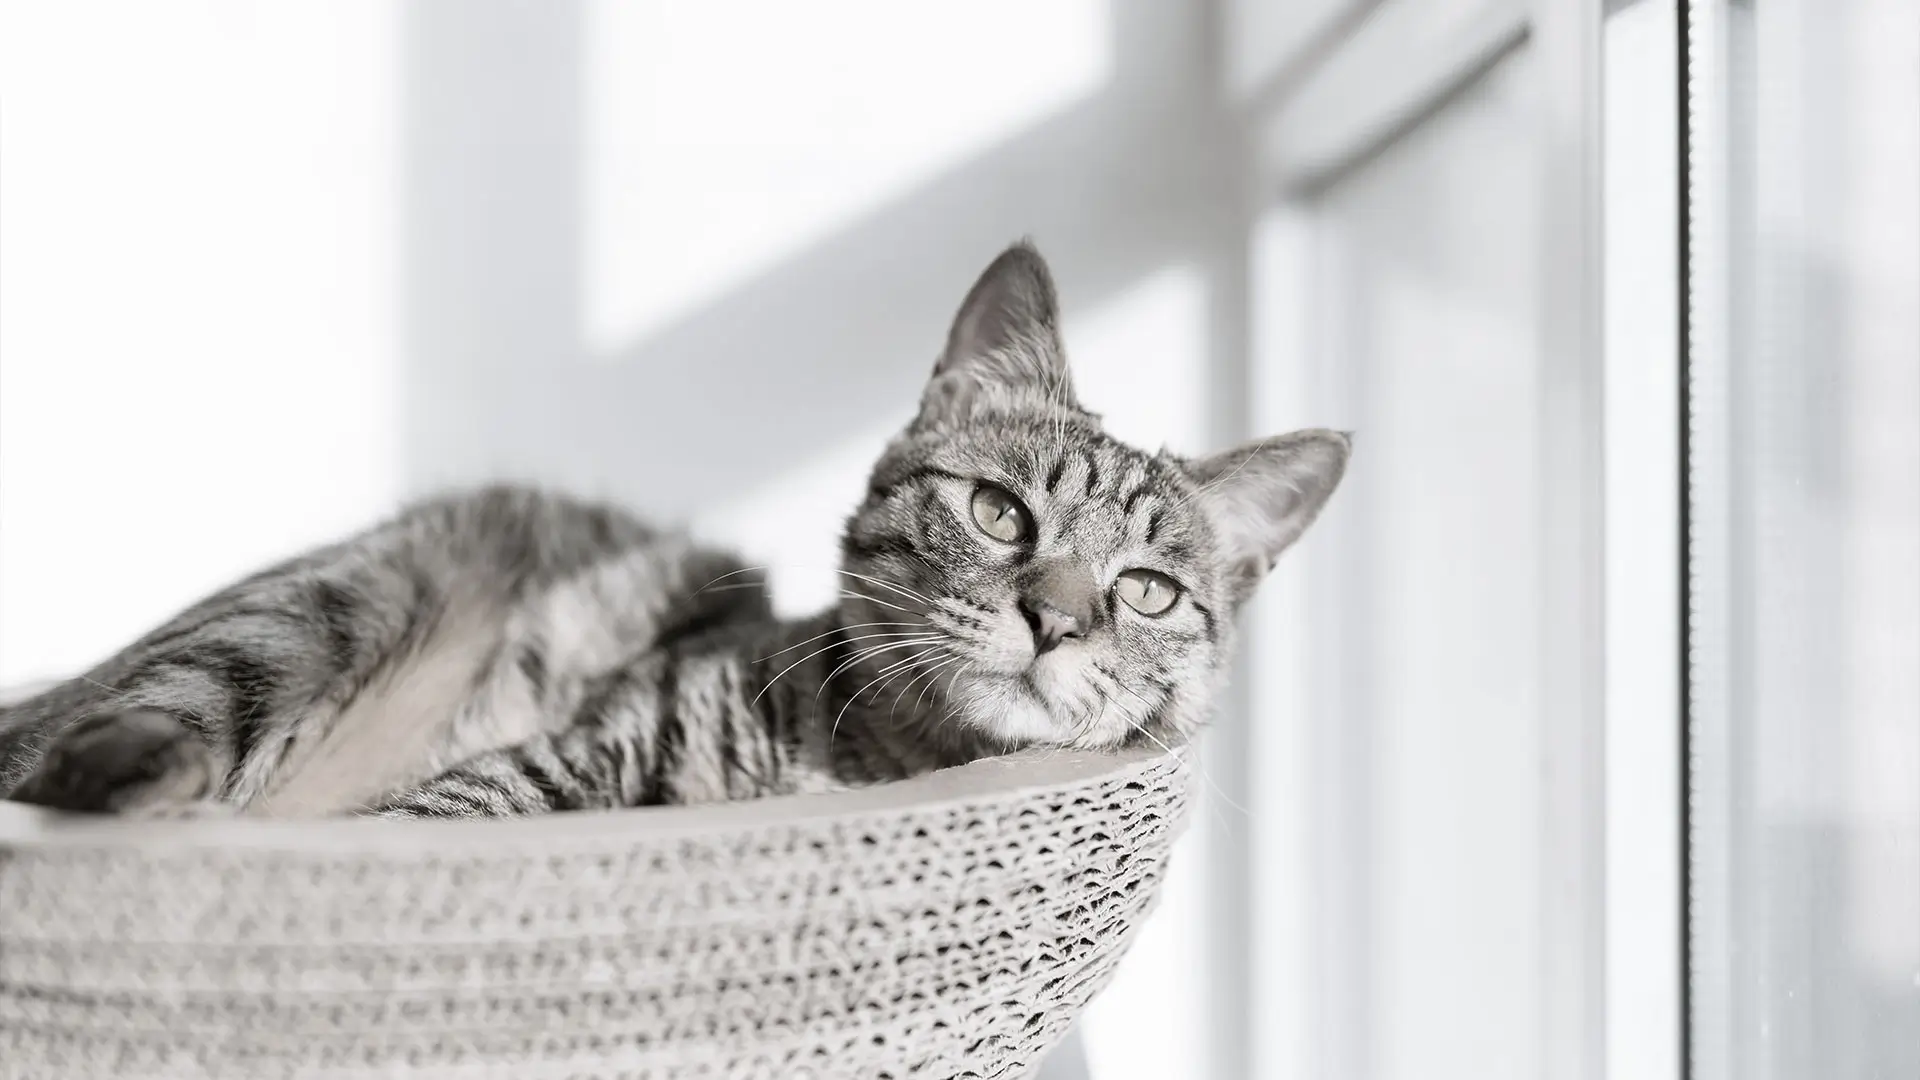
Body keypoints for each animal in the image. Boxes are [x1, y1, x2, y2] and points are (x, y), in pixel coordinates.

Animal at [0, 244, 1351, 814]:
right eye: (997, 512)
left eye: (1149, 591)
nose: (1056, 620)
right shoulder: (557, 755)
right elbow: (447, 815)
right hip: (315, 614)